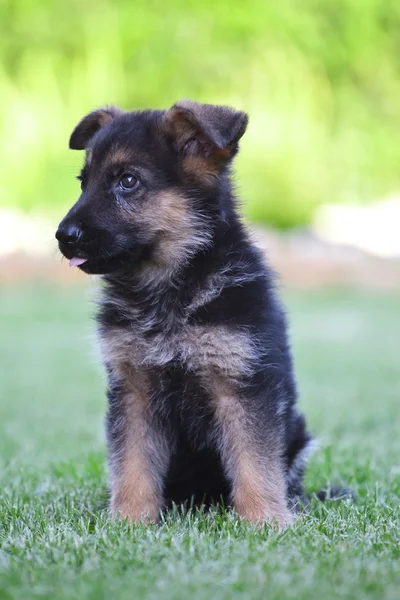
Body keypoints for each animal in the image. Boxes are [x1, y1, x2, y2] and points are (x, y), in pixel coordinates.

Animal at [56, 101, 312, 528]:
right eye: (82, 182)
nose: (63, 237)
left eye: (127, 181)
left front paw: (265, 522)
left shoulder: (241, 384)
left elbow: (255, 462)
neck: (169, 291)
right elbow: (132, 464)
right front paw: (129, 521)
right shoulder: (134, 389)